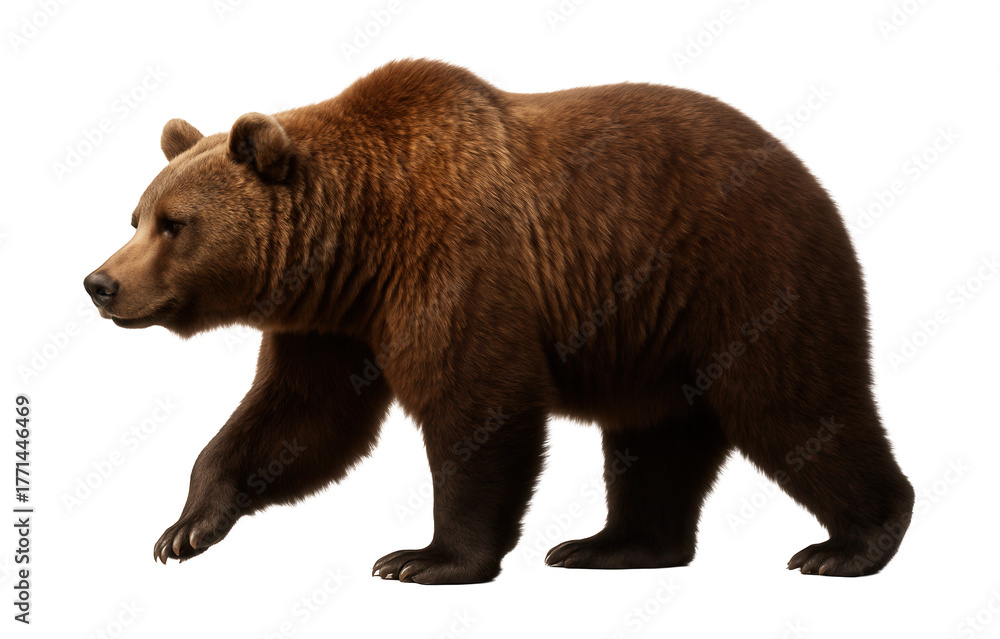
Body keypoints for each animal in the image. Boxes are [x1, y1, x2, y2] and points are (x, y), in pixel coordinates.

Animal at [84, 59, 914, 584]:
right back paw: (610, 544)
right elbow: (298, 419)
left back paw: (851, 542)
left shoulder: (459, 264)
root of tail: (809, 176)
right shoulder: (333, 324)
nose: (100, 282)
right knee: (655, 437)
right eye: (136, 214)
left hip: (744, 276)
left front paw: (423, 558)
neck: (359, 240)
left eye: (175, 223)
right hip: (657, 332)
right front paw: (185, 527)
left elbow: (477, 408)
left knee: (793, 403)